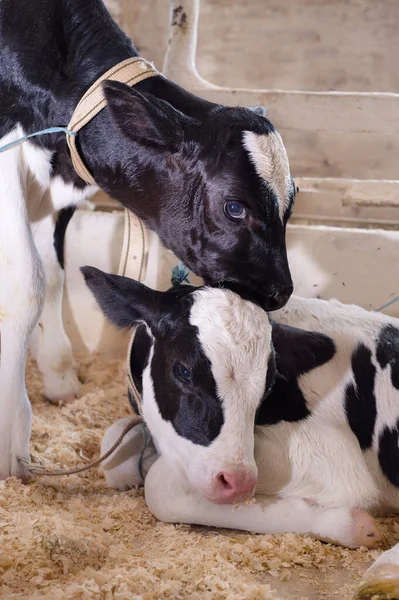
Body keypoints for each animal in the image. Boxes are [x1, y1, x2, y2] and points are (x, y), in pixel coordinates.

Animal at [82, 268, 399, 548]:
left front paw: (348, 524)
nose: (239, 482)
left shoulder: (333, 459)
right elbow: (115, 448)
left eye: (269, 385)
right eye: (183, 371)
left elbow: (160, 485)